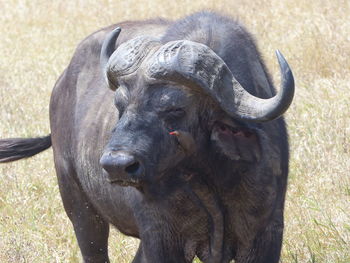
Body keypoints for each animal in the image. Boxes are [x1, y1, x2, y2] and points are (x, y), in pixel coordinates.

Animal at [1, 11, 294, 262]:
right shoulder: (159, 237)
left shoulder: (265, 235)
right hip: (79, 207)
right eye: (119, 105)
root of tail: (62, 84)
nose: (117, 165)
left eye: (175, 108)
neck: (208, 176)